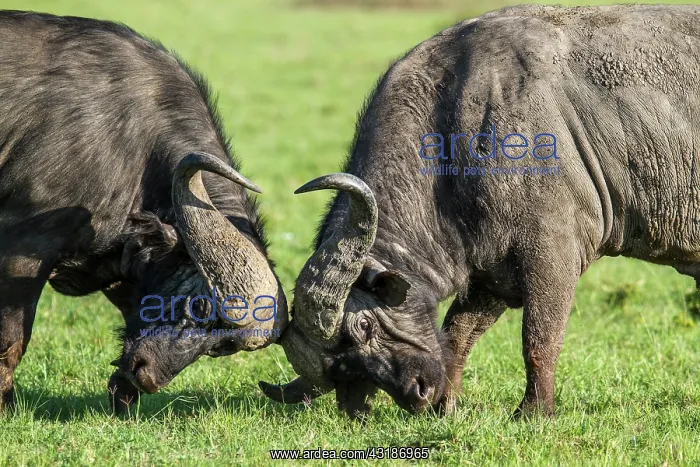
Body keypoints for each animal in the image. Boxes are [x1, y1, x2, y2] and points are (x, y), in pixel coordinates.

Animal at [261, 4, 700, 418]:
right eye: (340, 368)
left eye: (365, 325)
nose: (418, 393)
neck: (457, 132)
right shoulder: (492, 271)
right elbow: (458, 333)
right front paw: (447, 406)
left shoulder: (552, 255)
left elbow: (539, 339)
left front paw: (533, 413)